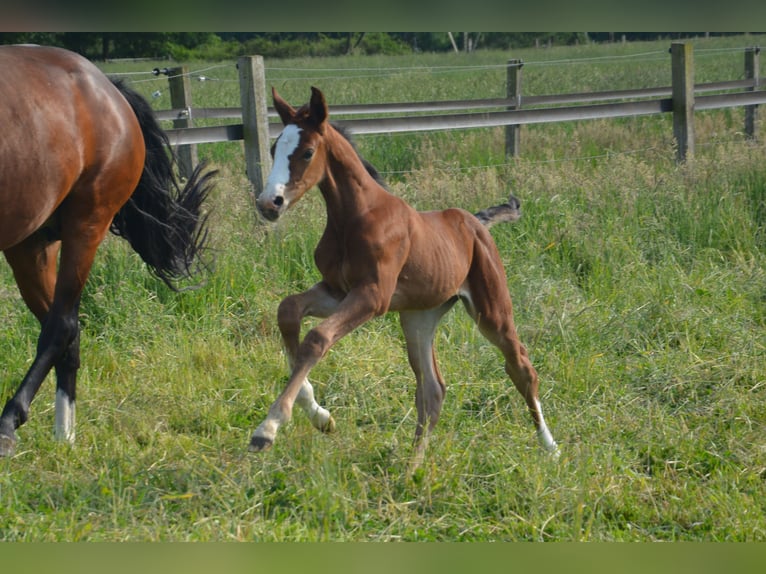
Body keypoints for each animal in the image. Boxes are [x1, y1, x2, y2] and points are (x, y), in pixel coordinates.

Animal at [0, 45, 216, 460]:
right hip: (30, 243)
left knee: (61, 327)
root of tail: (106, 86)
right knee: (66, 332)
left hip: (87, 224)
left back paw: (11, 425)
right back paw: (63, 436)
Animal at [255, 86, 560, 472]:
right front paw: (321, 416)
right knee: (432, 389)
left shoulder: (373, 296)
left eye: (307, 152)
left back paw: (550, 446)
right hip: (418, 316)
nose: (269, 203)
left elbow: (317, 338)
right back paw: (412, 467)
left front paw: (268, 428)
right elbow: (289, 310)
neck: (354, 218)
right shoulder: (337, 291)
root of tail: (475, 221)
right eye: (273, 149)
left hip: (491, 309)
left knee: (520, 366)